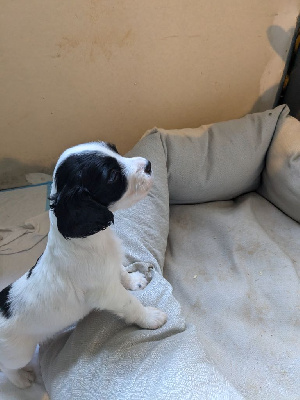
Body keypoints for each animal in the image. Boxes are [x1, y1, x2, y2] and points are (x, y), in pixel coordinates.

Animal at [0, 141, 166, 388]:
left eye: (115, 149)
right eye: (113, 176)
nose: (148, 164)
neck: (89, 240)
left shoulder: (111, 267)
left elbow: (122, 273)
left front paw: (135, 281)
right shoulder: (107, 294)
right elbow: (131, 305)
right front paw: (150, 317)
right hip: (18, 353)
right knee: (7, 368)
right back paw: (21, 379)